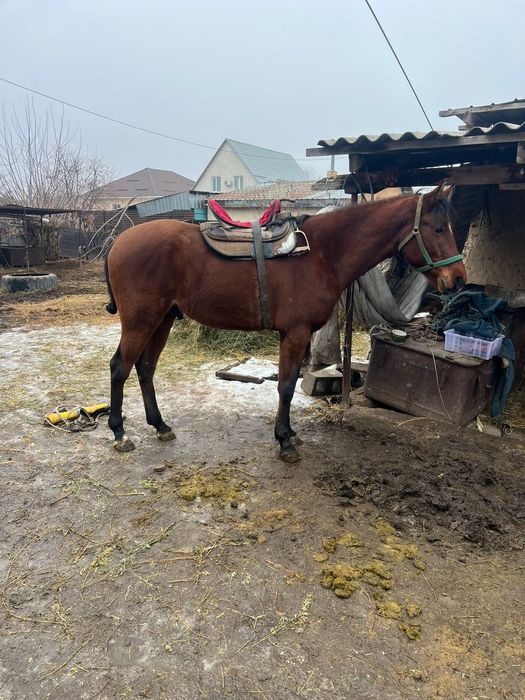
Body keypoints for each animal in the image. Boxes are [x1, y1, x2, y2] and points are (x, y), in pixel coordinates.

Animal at [104, 184, 466, 463]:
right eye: (438, 229)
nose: (458, 278)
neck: (321, 255)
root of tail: (118, 242)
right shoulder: (295, 333)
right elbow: (287, 386)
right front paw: (285, 441)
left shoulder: (297, 335)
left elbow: (288, 383)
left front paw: (289, 433)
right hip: (141, 321)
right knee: (120, 367)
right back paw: (120, 433)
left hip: (162, 320)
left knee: (145, 368)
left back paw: (160, 426)